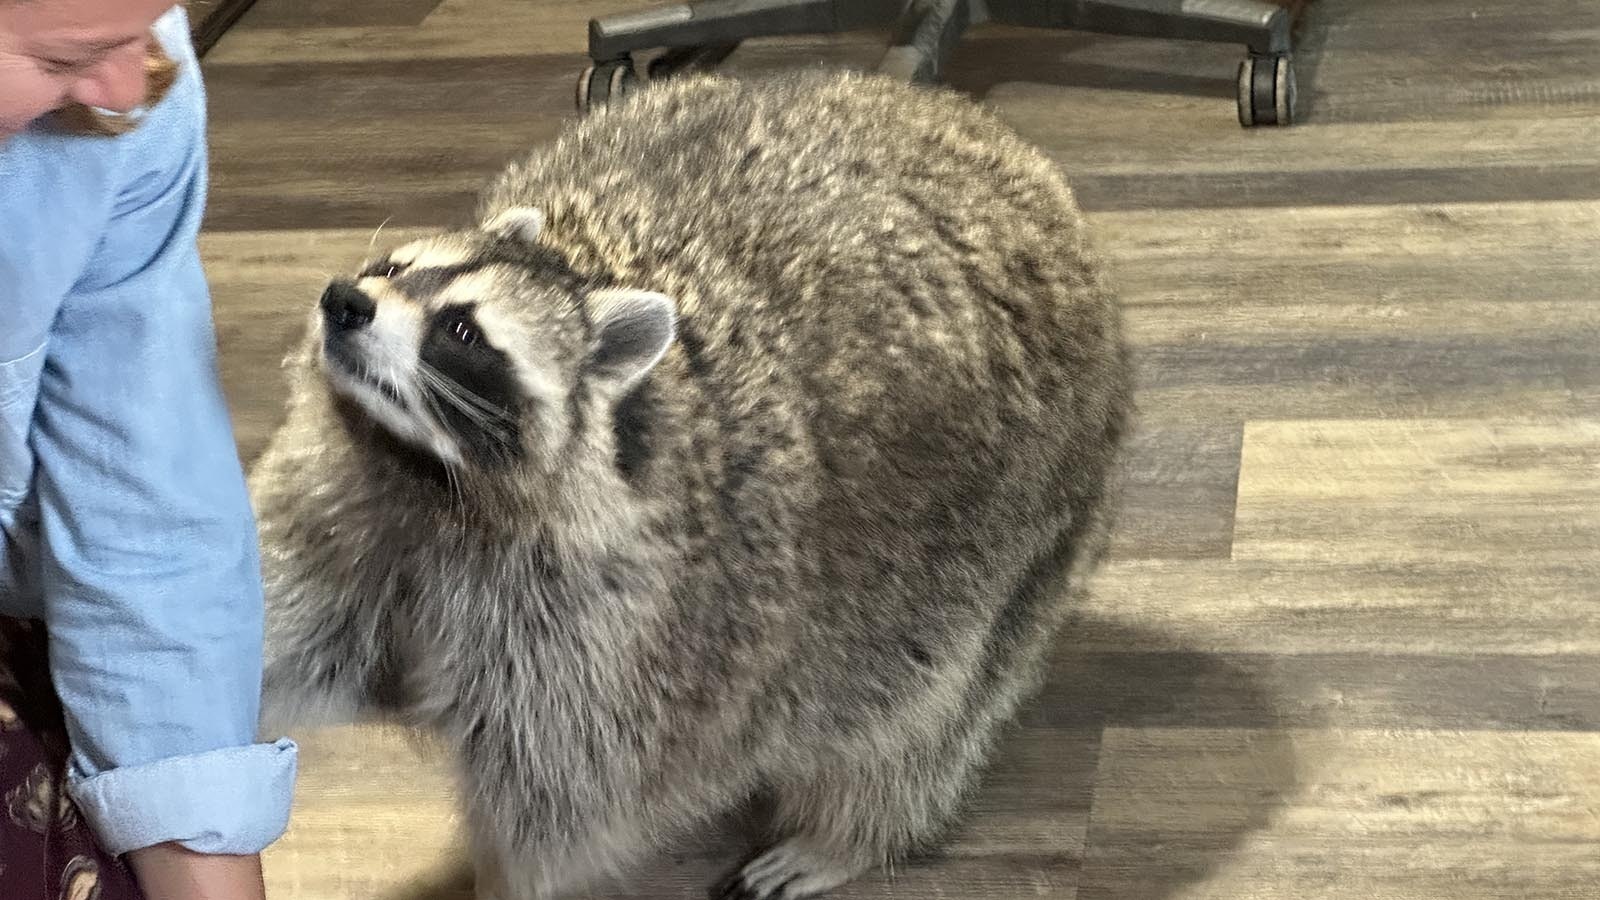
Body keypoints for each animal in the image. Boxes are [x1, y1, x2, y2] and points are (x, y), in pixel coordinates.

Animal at [249, 66, 1132, 890]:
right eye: (389, 264)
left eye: (460, 331)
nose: (343, 301)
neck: (426, 478)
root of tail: (994, 137)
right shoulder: (342, 505)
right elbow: (290, 634)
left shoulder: (621, 638)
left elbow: (556, 803)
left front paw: (502, 882)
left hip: (1018, 544)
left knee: (919, 718)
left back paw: (849, 834)